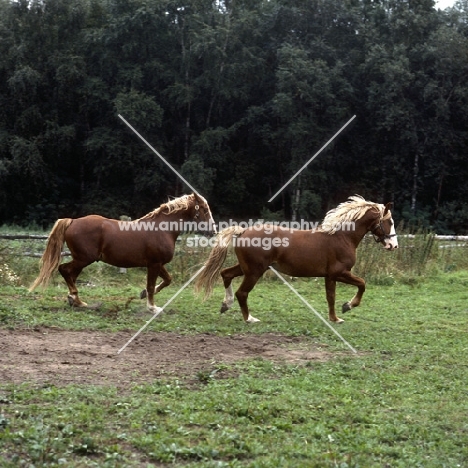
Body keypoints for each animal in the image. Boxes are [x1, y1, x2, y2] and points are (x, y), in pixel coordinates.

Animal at [30, 192, 217, 312]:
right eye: (204, 209)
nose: (213, 231)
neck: (162, 230)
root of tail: (72, 221)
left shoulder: (158, 264)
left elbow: (167, 280)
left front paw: (143, 295)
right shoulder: (154, 264)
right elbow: (151, 285)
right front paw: (152, 307)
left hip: (81, 260)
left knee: (70, 275)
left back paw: (76, 301)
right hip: (84, 259)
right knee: (64, 270)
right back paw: (77, 300)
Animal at [195, 196, 398, 324]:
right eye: (390, 222)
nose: (393, 245)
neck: (342, 237)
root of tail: (243, 231)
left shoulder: (330, 276)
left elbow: (331, 297)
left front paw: (336, 317)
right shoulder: (339, 273)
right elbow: (361, 284)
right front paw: (347, 307)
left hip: (247, 268)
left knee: (226, 274)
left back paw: (225, 305)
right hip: (254, 272)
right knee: (242, 293)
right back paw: (249, 319)